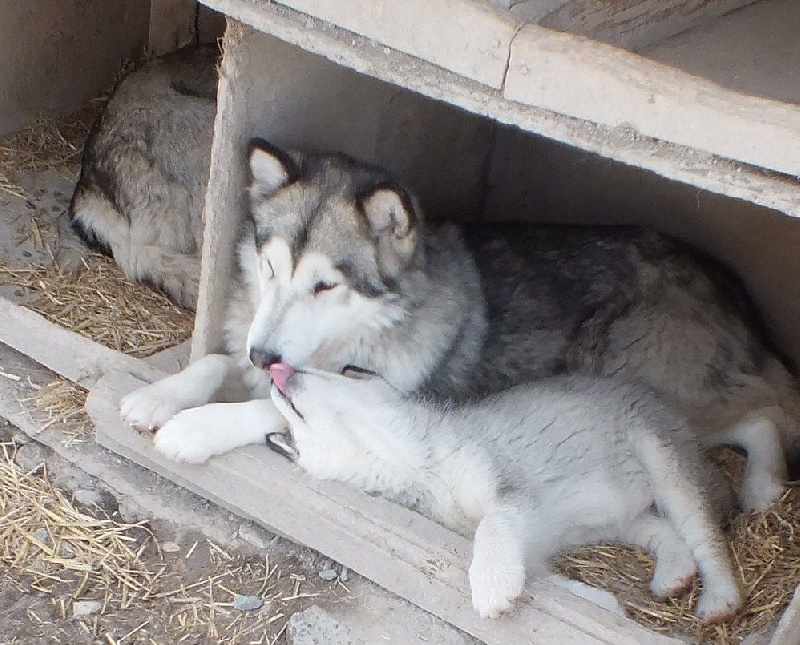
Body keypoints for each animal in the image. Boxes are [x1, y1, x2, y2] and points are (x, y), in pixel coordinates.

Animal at [120, 141, 800, 508]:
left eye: (325, 285)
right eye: (270, 267)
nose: (264, 356)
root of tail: (724, 277)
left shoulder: (391, 406)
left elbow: (273, 407)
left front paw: (195, 428)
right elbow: (215, 359)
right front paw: (160, 396)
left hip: (635, 367)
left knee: (766, 409)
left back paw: (764, 487)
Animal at [266, 362, 740, 620]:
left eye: (341, 370)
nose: (273, 371)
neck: (418, 463)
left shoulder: (510, 489)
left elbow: (492, 524)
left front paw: (492, 585)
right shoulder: (531, 542)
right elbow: (553, 583)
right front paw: (601, 603)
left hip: (661, 458)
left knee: (703, 533)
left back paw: (719, 597)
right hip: (620, 519)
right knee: (665, 532)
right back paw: (674, 574)